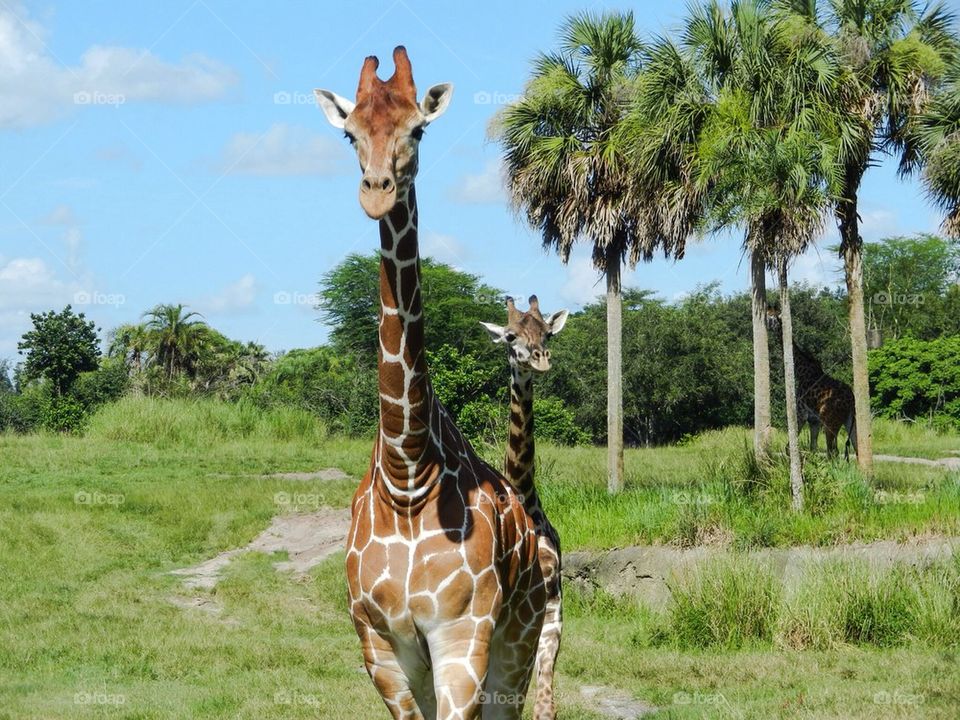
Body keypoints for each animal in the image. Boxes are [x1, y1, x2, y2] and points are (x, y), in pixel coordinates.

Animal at [315, 48, 545, 720]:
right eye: (349, 133)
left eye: (418, 130)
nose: (376, 193)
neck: (407, 474)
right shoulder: (379, 645)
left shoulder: (462, 638)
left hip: (522, 639)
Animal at [767, 308, 857, 459]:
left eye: (771, 317)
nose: (765, 322)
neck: (801, 371)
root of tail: (850, 400)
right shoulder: (814, 421)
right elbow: (812, 448)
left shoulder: (801, 413)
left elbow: (789, 447)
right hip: (850, 420)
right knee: (857, 447)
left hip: (830, 421)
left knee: (833, 452)